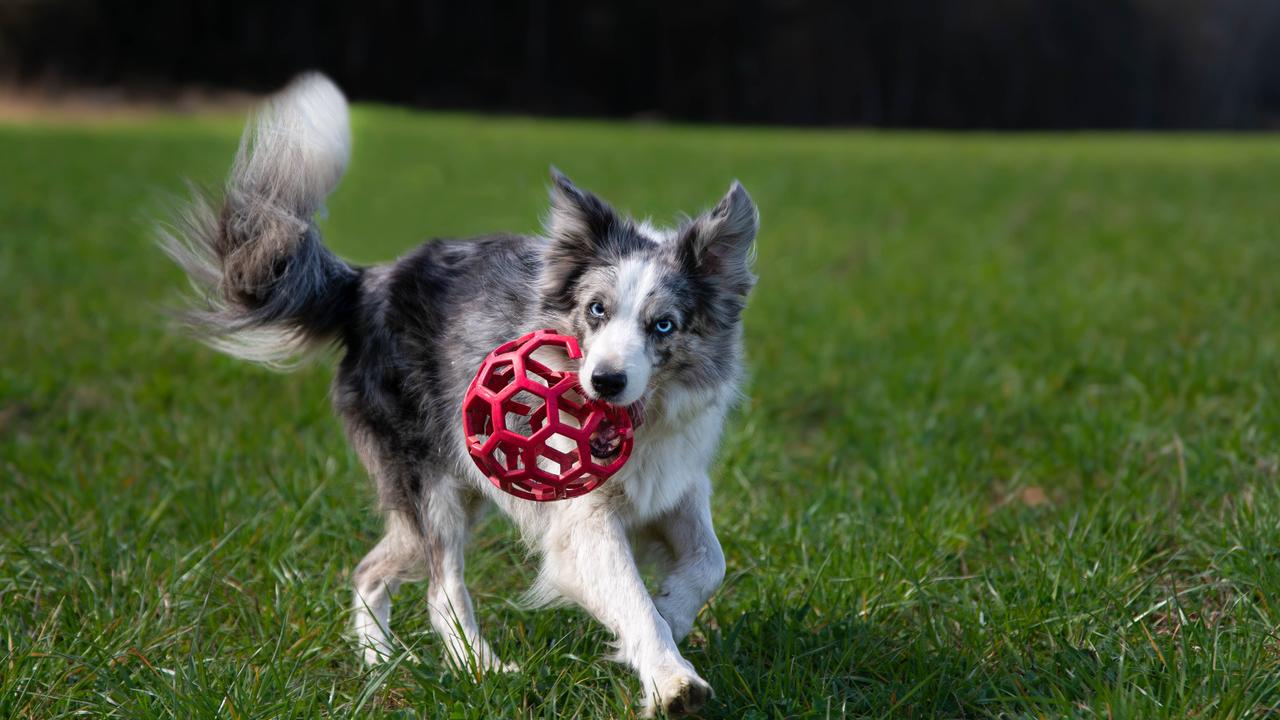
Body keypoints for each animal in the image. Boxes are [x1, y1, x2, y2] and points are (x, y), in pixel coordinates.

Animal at [161, 73, 757, 712]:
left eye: (664, 325)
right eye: (596, 310)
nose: (605, 381)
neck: (644, 422)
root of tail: (366, 283)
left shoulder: (676, 482)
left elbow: (711, 562)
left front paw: (674, 613)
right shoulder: (581, 519)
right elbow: (631, 597)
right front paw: (672, 679)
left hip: (462, 483)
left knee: (370, 568)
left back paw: (381, 664)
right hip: (433, 482)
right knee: (440, 588)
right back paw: (482, 671)